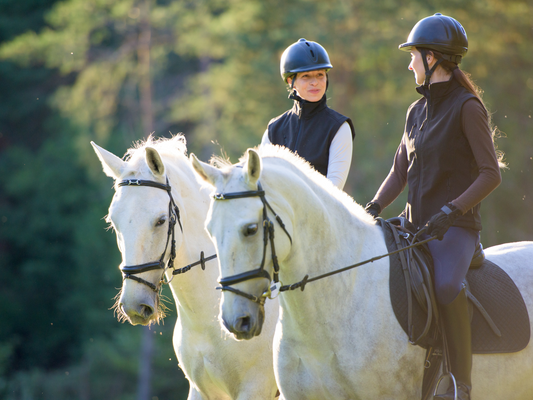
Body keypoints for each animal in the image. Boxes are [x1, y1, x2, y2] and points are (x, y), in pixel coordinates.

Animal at [91, 137, 278, 400]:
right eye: (112, 221)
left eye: (161, 220)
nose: (134, 306)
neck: (206, 321)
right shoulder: (200, 390)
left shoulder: (255, 389)